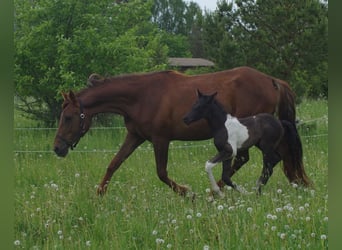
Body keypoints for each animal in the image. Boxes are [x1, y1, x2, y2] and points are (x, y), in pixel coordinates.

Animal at [52, 67, 310, 197]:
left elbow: (161, 172)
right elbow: (114, 163)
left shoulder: (160, 140)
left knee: (254, 159)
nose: (57, 148)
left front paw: (186, 192)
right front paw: (99, 193)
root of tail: (272, 80)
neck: (141, 97)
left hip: (249, 135)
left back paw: (215, 191)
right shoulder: (135, 136)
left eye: (68, 117)